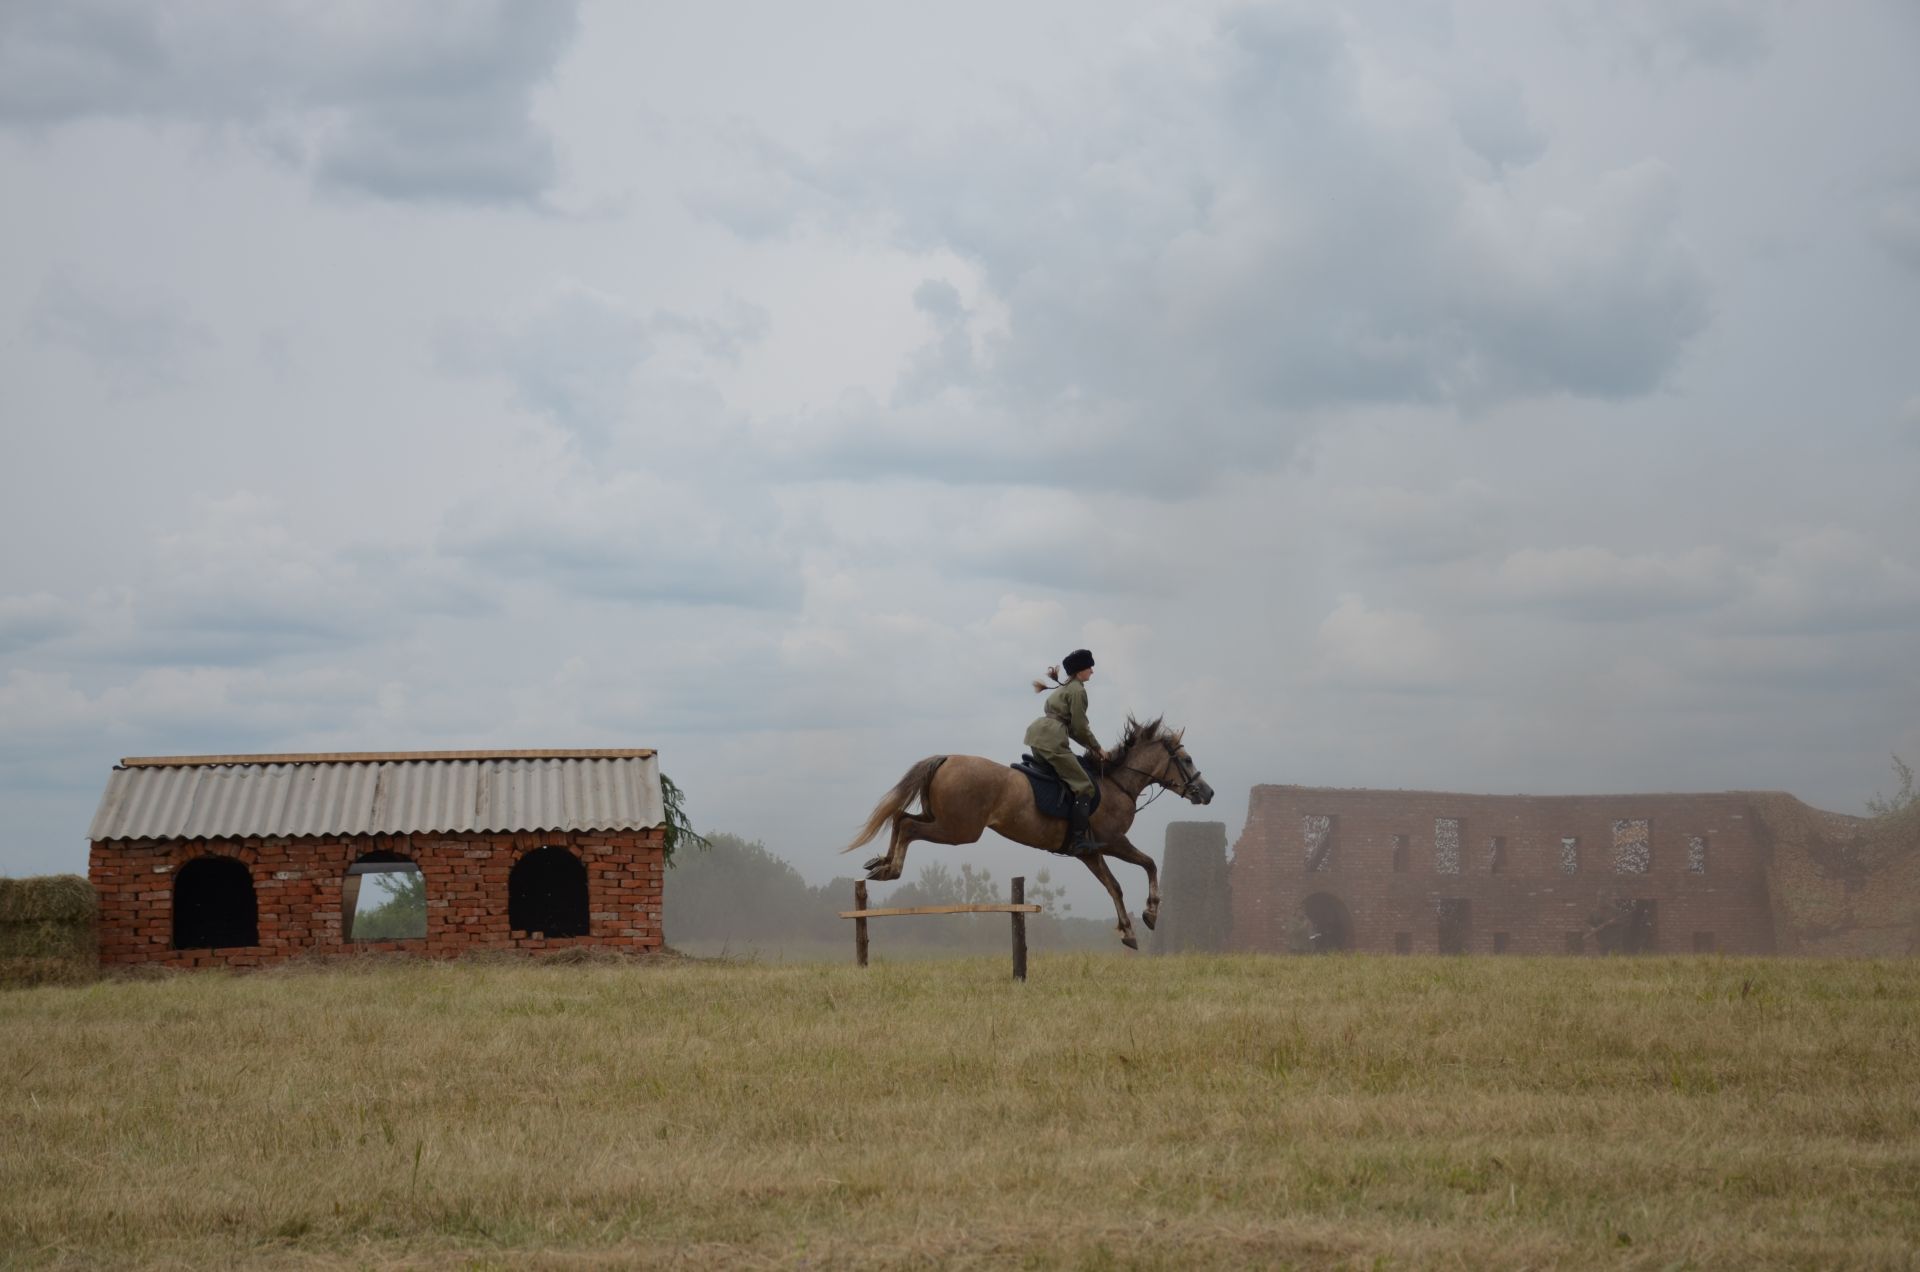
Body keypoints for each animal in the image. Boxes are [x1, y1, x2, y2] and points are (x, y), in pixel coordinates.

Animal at [844, 718, 1213, 945]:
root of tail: (947, 758)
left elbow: (1114, 887)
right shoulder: (1112, 841)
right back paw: (891, 869)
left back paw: (880, 865)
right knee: (907, 825)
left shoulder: (1089, 852)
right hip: (958, 829)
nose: (1207, 793)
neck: (1116, 785)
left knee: (900, 817)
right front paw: (1150, 913)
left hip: (942, 818)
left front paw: (1128, 933)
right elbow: (1149, 864)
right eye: (1187, 759)